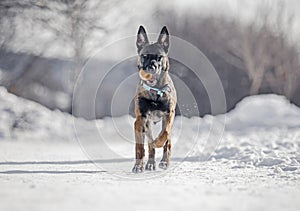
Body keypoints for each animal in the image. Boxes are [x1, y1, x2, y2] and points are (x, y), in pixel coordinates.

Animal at [132, 26, 177, 173]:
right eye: (144, 56)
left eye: (159, 57)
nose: (151, 68)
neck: (155, 92)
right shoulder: (140, 120)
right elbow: (140, 147)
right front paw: (138, 166)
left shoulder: (169, 114)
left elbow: (165, 134)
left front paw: (159, 142)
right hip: (147, 125)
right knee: (149, 144)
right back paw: (150, 163)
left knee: (167, 141)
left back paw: (164, 161)